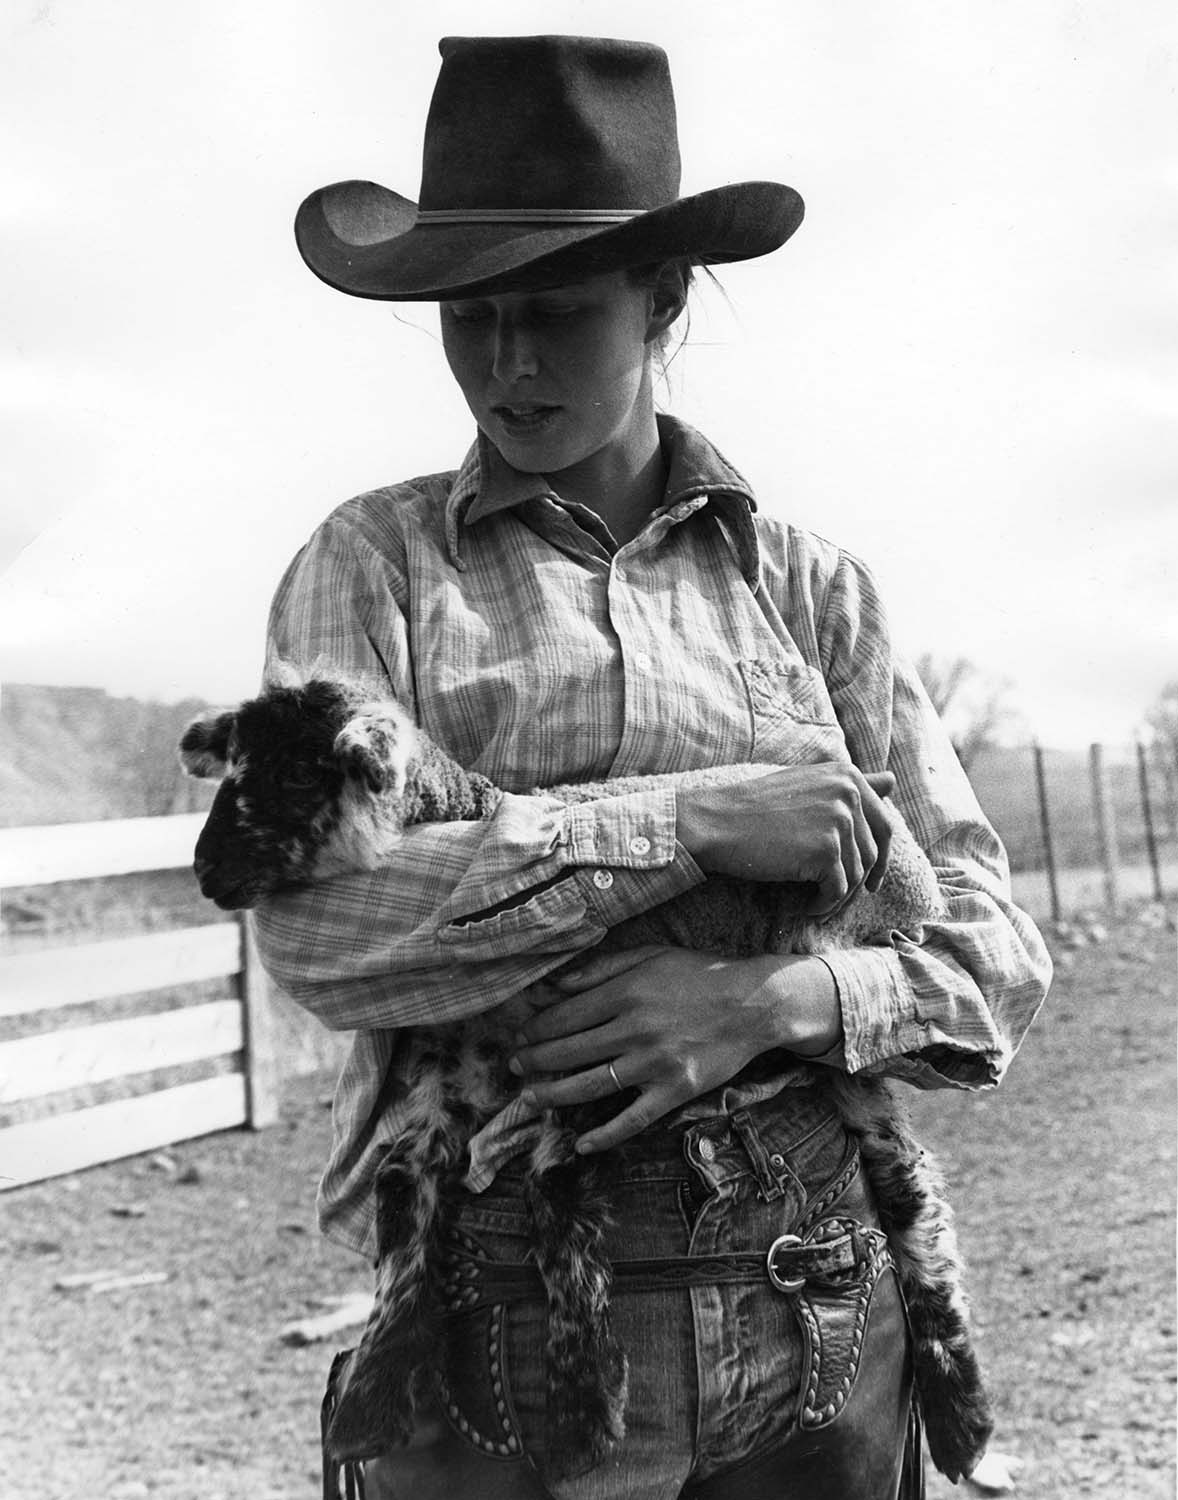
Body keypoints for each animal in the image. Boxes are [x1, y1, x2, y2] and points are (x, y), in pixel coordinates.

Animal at [181, 675, 990, 1482]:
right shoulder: (450, 1083)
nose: (205, 870)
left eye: (296, 773)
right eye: (234, 765)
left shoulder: (593, 1067)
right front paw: (370, 1399)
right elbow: (402, 1197)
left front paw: (585, 1411)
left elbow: (556, 1204)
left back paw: (962, 1416)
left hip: (839, 962)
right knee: (904, 1172)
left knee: (907, 1175)